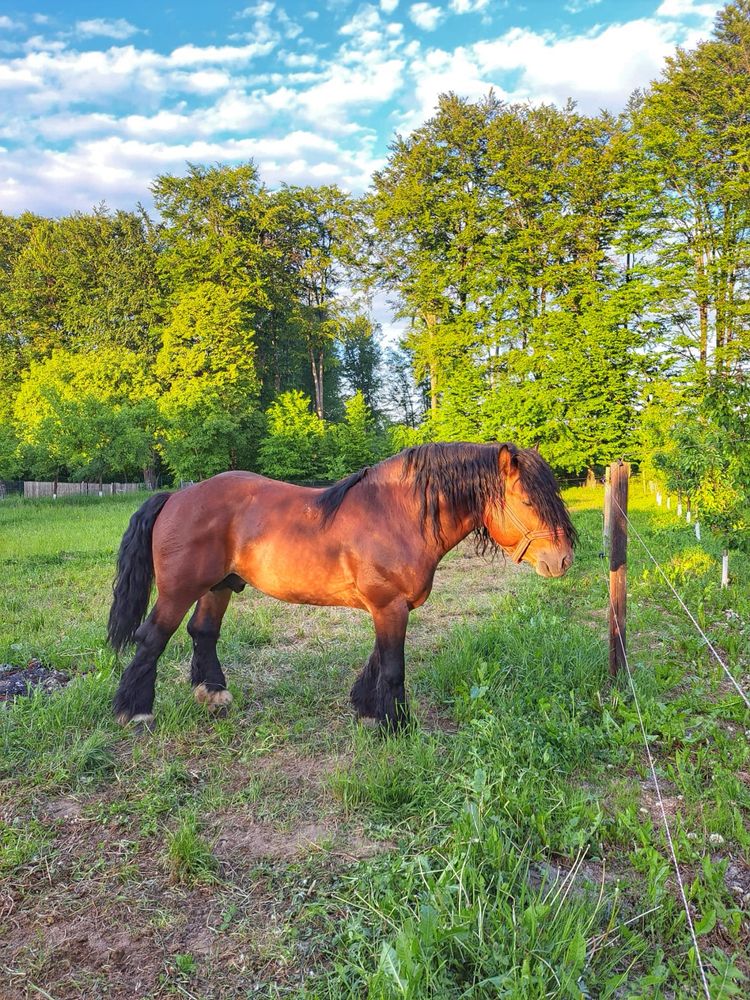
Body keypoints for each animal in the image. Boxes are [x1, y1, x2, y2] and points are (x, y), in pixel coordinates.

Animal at [107, 442, 576, 732]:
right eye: (528, 501)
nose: (563, 559)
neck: (398, 514)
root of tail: (175, 496)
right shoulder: (389, 606)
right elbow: (393, 666)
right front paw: (397, 725)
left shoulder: (390, 606)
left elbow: (378, 660)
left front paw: (368, 710)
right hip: (178, 591)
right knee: (151, 638)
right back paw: (136, 711)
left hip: (219, 586)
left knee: (202, 632)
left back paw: (212, 693)